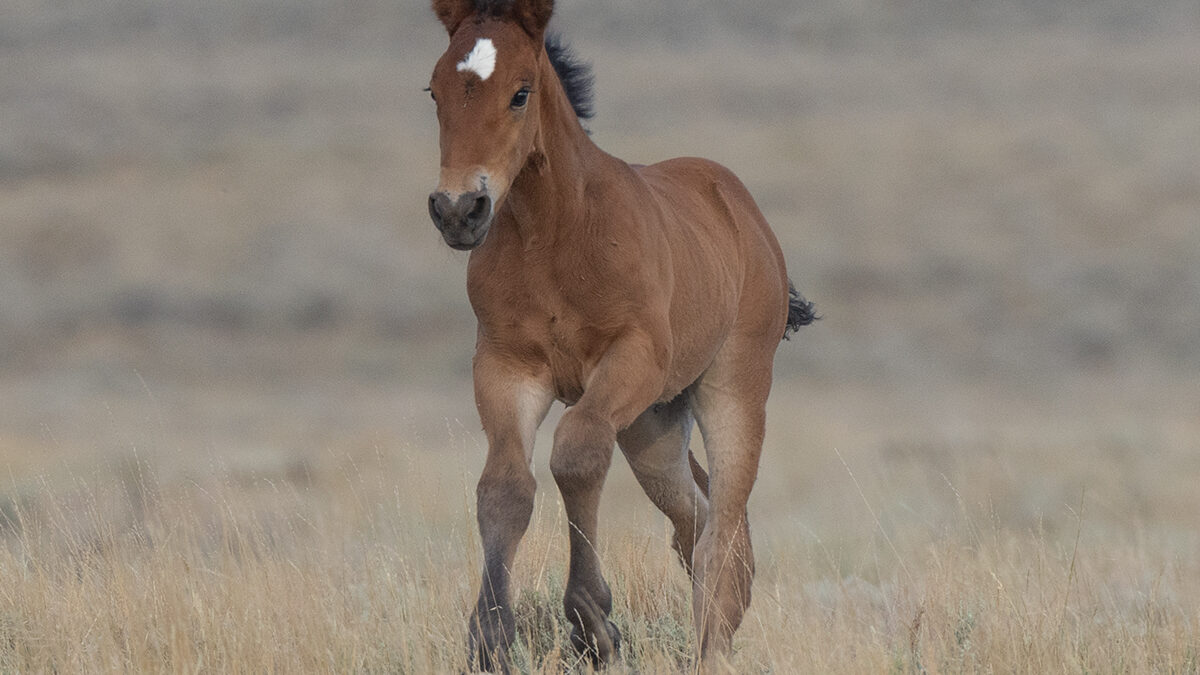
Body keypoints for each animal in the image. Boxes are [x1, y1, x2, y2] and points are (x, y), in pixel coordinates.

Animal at [424, 0, 816, 662]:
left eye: (521, 92)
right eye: (433, 91)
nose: (458, 210)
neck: (554, 236)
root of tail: (743, 210)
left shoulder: (633, 357)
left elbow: (577, 454)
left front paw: (591, 620)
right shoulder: (506, 365)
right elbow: (504, 487)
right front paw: (491, 635)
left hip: (731, 388)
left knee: (721, 521)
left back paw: (711, 642)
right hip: (651, 425)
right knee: (694, 518)